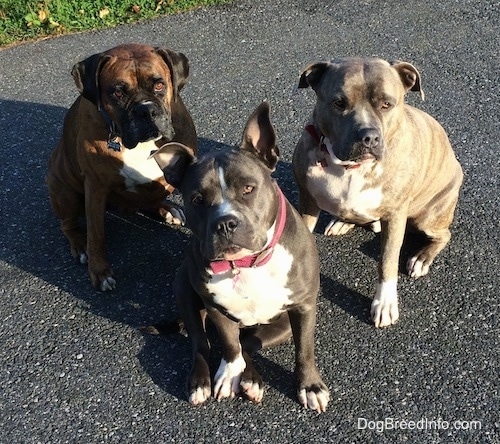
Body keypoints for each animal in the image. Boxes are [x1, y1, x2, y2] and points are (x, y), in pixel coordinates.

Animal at [154, 102, 330, 412]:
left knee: (249, 343)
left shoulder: (304, 307)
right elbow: (228, 343)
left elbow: (304, 350)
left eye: (248, 188)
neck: (247, 263)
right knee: (202, 342)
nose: (225, 223)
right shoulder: (215, 307)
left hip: (281, 323)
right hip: (183, 287)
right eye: (197, 199)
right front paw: (226, 375)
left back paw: (251, 380)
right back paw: (204, 381)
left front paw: (310, 386)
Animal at [292, 57, 464, 328]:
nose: (368, 137)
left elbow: (388, 262)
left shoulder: (395, 215)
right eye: (339, 103)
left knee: (443, 235)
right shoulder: (307, 200)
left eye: (387, 104)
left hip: (429, 216)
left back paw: (422, 258)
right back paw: (343, 222)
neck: (350, 168)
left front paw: (385, 303)